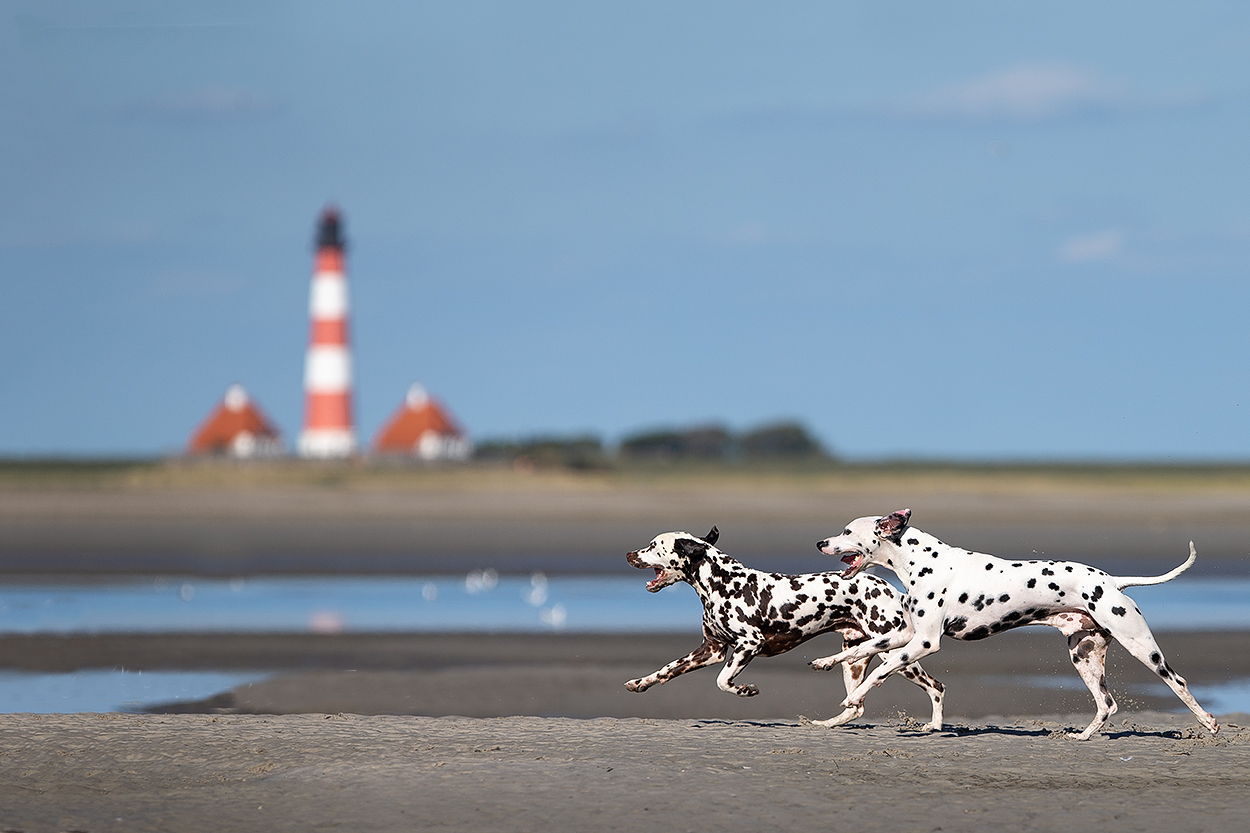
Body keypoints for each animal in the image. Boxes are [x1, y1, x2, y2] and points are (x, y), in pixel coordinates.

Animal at [625, 525, 945, 725]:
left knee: (936, 687)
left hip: (896, 656)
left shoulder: (748, 645)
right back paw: (824, 724)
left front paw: (745, 690)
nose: (628, 554)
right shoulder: (710, 650)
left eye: (653, 546)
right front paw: (641, 682)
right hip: (853, 660)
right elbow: (667, 669)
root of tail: (894, 591)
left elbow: (722, 681)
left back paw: (934, 726)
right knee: (856, 706)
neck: (723, 582)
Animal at [815, 510, 1215, 735]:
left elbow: (879, 672)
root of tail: (1112, 581)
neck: (922, 560)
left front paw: (855, 698)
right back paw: (1082, 737)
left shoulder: (925, 643)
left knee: (1178, 683)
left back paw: (1209, 723)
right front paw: (828, 660)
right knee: (1107, 704)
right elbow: (863, 649)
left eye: (848, 531)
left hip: (1142, 648)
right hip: (1084, 657)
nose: (820, 542)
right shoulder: (905, 635)